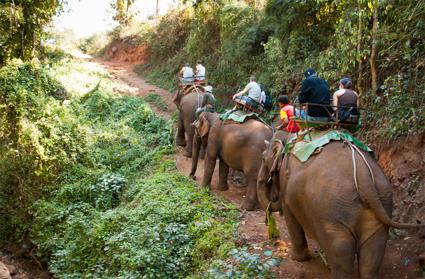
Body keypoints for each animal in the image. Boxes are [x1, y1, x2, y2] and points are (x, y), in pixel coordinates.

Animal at [255, 131, 420, 279]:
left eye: (263, 158)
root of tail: (364, 176)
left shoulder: (286, 188)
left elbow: (291, 220)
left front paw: (297, 258)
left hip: (332, 212)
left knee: (340, 254)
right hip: (382, 201)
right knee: (372, 253)